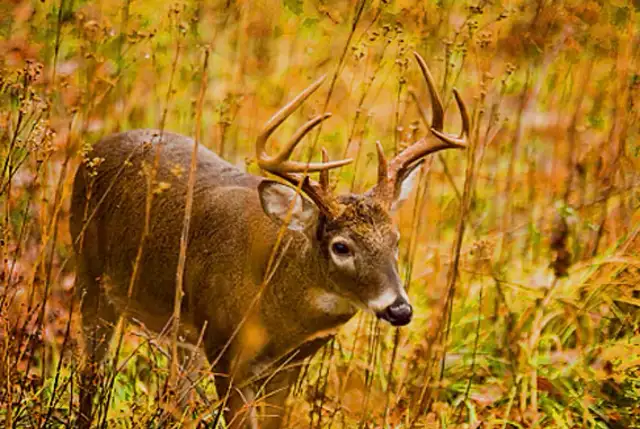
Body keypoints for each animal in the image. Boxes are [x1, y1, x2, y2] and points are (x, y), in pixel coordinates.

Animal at [70, 52, 469, 429]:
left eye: (396, 240)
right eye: (341, 246)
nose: (399, 310)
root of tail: (93, 150)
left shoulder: (286, 366)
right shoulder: (224, 349)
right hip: (90, 274)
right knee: (89, 374)